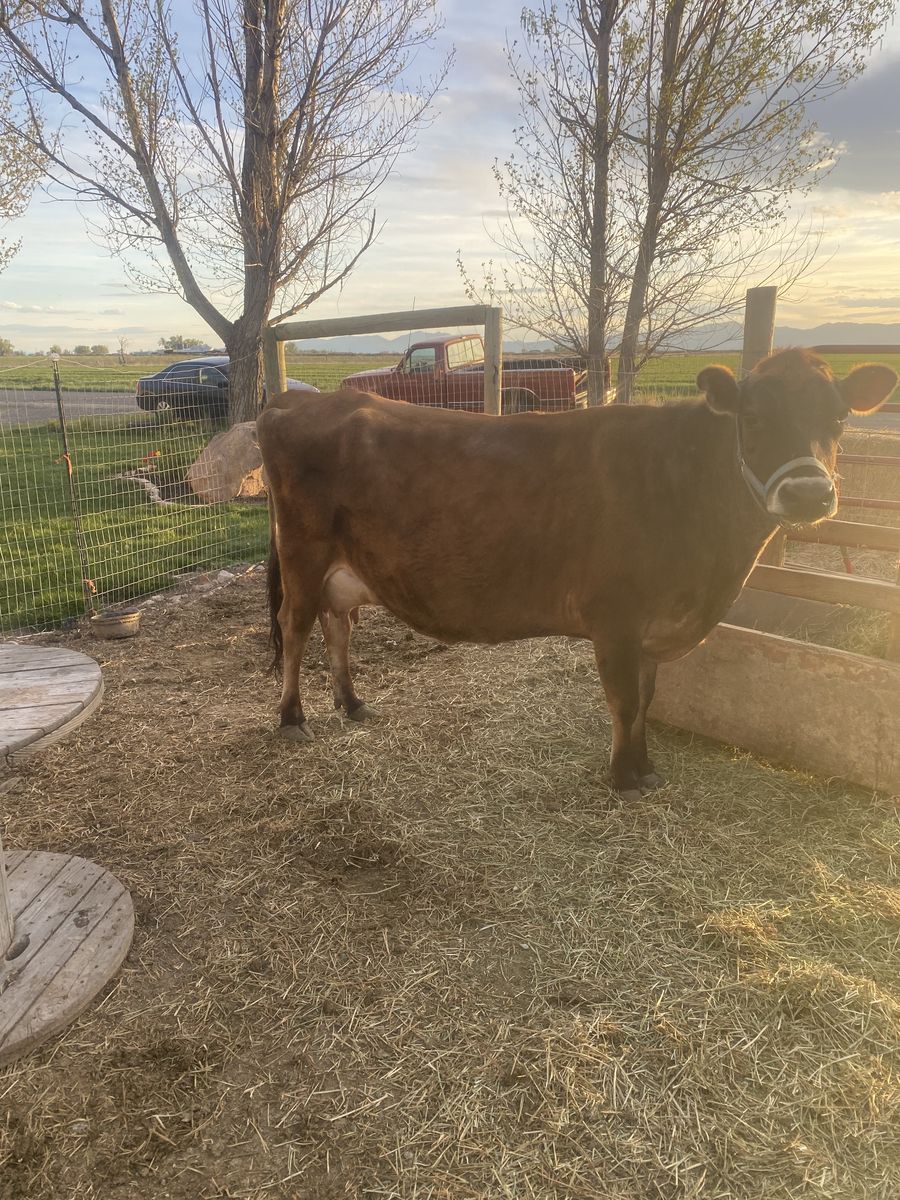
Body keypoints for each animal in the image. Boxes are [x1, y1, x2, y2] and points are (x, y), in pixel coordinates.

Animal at [257, 349, 896, 800]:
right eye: (754, 417)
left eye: (839, 418)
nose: (809, 494)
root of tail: (296, 400)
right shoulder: (616, 617)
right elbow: (623, 701)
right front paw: (623, 778)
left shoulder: (651, 628)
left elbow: (646, 699)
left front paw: (645, 768)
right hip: (304, 551)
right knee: (296, 627)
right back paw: (292, 718)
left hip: (341, 565)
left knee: (337, 625)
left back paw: (351, 702)